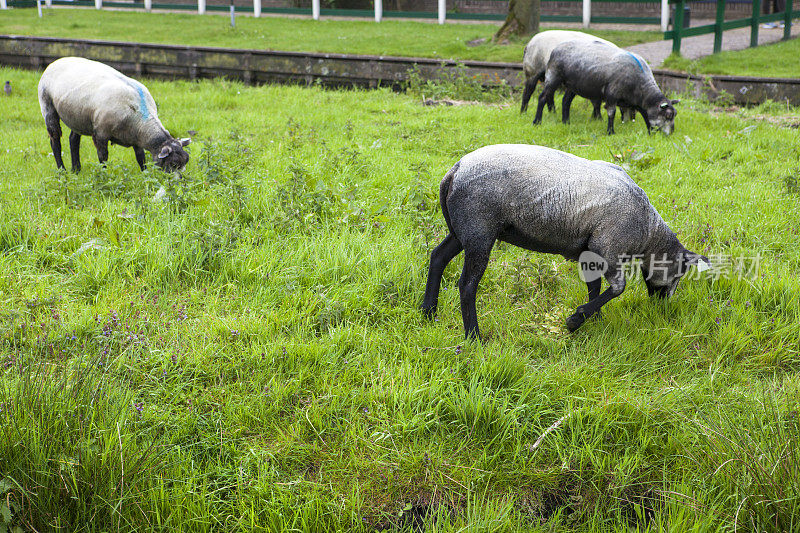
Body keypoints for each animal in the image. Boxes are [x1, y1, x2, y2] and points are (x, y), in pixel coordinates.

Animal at [39, 56, 191, 172]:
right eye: (173, 164)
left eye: (185, 162)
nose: (180, 182)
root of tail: (56, 62)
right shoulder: (100, 134)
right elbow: (103, 158)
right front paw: (104, 176)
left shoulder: (136, 137)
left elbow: (140, 158)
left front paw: (145, 175)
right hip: (47, 106)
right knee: (55, 141)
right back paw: (62, 171)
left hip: (77, 117)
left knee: (73, 140)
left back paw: (76, 170)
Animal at [422, 143, 708, 338]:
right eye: (679, 274)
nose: (663, 306)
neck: (648, 231)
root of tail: (455, 171)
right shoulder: (608, 247)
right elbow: (618, 288)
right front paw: (575, 320)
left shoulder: (589, 252)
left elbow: (594, 286)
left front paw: (595, 319)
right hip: (479, 230)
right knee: (467, 285)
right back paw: (474, 337)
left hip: (463, 230)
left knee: (438, 257)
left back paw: (428, 313)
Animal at [536, 40, 680, 135]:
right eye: (668, 115)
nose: (671, 134)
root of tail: (556, 49)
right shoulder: (612, 93)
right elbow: (612, 113)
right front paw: (611, 132)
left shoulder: (636, 101)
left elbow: (645, 114)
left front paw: (650, 132)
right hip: (553, 76)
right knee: (542, 97)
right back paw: (537, 122)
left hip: (573, 85)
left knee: (566, 101)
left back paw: (566, 122)